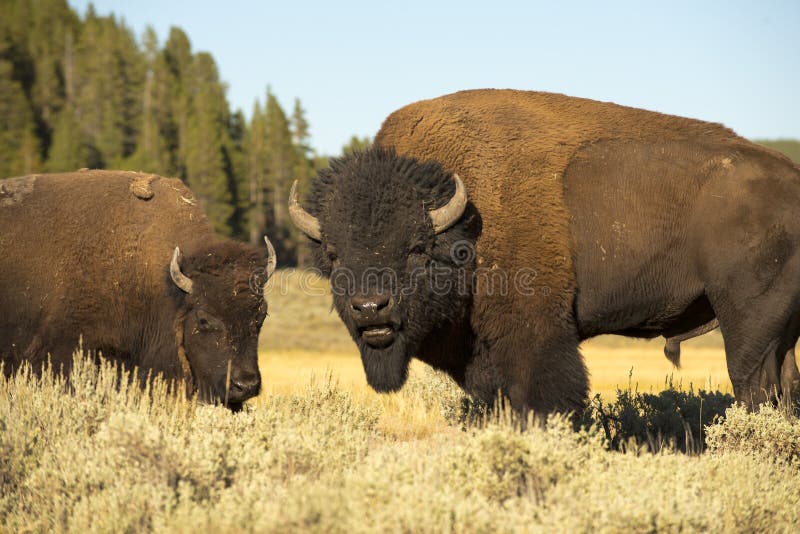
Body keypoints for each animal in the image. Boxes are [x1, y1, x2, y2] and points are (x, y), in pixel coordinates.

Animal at [289, 89, 800, 415]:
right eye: (333, 255)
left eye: (417, 248)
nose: (370, 308)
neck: (465, 230)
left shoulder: (536, 339)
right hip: (781, 333)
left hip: (748, 325)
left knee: (755, 388)